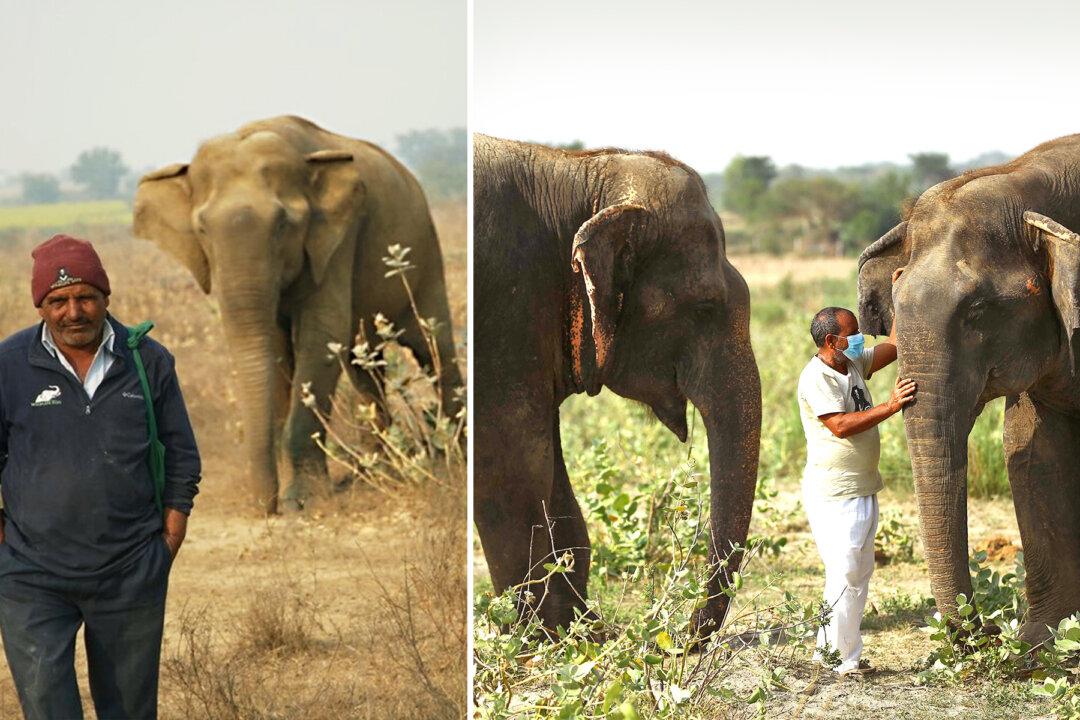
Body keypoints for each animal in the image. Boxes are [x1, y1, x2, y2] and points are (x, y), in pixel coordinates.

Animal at [133, 115, 461, 514]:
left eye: (283, 225)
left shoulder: (335, 239)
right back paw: (376, 471)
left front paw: (301, 501)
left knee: (432, 347)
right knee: (363, 364)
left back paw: (451, 458)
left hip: (425, 252)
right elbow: (276, 348)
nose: (265, 507)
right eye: (202, 230)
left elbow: (321, 333)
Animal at [474, 134, 761, 634]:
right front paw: (547, 636)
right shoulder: (503, 311)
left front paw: (583, 630)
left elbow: (548, 473)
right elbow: (512, 467)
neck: (576, 174)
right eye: (705, 308)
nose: (683, 634)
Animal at [857, 133, 1080, 642]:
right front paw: (1039, 644)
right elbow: (1031, 452)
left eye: (978, 310)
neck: (1023, 181)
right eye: (896, 306)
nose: (991, 629)